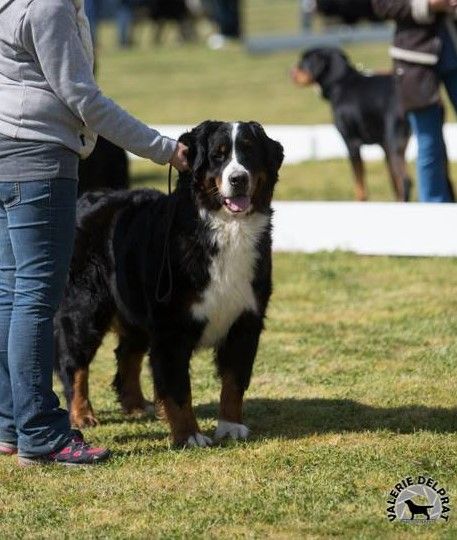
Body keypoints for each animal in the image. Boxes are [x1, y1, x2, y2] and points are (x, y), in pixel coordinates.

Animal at [53, 121, 282, 448]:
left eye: (249, 152)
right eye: (218, 156)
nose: (238, 179)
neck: (225, 227)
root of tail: (85, 198)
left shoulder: (245, 320)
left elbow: (234, 381)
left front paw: (230, 426)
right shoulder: (172, 327)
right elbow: (177, 388)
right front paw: (189, 435)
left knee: (128, 354)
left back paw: (137, 405)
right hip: (86, 307)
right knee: (74, 362)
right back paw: (82, 414)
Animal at [292, 46, 414, 201]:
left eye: (303, 61)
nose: (290, 73)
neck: (340, 83)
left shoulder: (351, 142)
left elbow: (359, 184)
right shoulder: (384, 146)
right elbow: (393, 184)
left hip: (394, 141)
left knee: (406, 182)